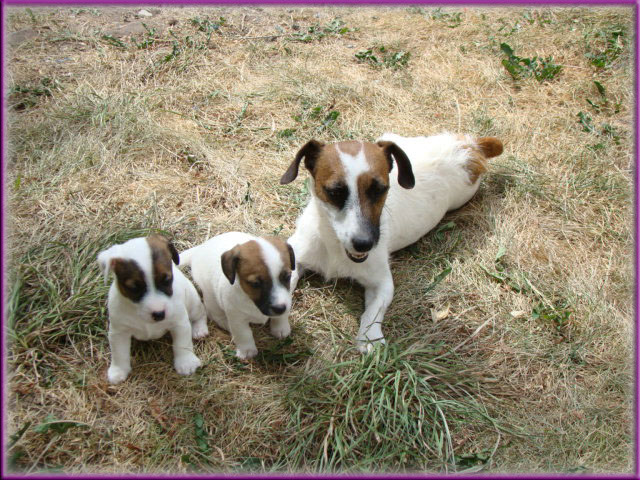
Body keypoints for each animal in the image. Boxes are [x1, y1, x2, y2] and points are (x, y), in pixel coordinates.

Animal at [97, 234, 208, 384]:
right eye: (134, 288)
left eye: (167, 280)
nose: (159, 314)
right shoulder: (118, 331)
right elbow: (119, 353)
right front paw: (118, 371)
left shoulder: (179, 323)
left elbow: (182, 344)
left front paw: (186, 362)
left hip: (192, 302)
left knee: (200, 314)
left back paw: (199, 329)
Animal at [179, 232, 296, 360]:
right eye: (255, 284)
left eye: (287, 277)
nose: (280, 308)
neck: (250, 300)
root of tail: (199, 250)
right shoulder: (237, 318)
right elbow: (244, 334)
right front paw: (247, 350)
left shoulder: (287, 298)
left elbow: (281, 317)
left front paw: (281, 328)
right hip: (211, 299)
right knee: (215, 315)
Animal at [280, 131, 504, 352]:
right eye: (335, 192)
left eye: (380, 189)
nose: (364, 243)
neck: (334, 245)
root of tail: (470, 146)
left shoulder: (382, 283)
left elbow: (373, 312)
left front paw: (369, 337)